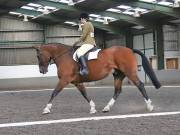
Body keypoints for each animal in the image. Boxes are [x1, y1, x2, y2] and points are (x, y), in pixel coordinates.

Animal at [33, 43, 161, 114]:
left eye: (38, 56)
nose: (42, 71)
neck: (64, 56)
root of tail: (129, 49)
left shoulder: (64, 80)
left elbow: (54, 93)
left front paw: (46, 109)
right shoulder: (77, 82)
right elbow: (84, 94)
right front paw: (93, 108)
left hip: (130, 73)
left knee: (140, 85)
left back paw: (149, 106)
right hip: (118, 75)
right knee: (117, 91)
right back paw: (107, 108)